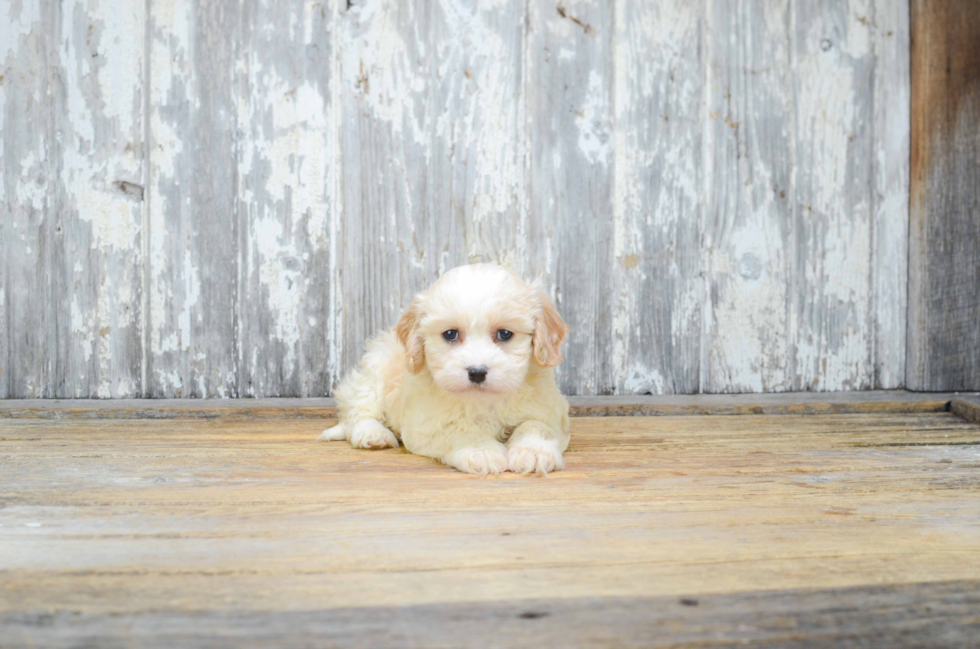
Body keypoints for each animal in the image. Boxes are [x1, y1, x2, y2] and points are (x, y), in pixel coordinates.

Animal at [318, 264, 572, 476]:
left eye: (505, 334)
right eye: (450, 334)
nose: (477, 372)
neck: (483, 401)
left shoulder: (549, 411)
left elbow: (536, 426)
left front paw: (534, 452)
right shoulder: (425, 424)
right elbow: (458, 430)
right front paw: (480, 451)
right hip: (375, 369)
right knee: (359, 410)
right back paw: (373, 433)